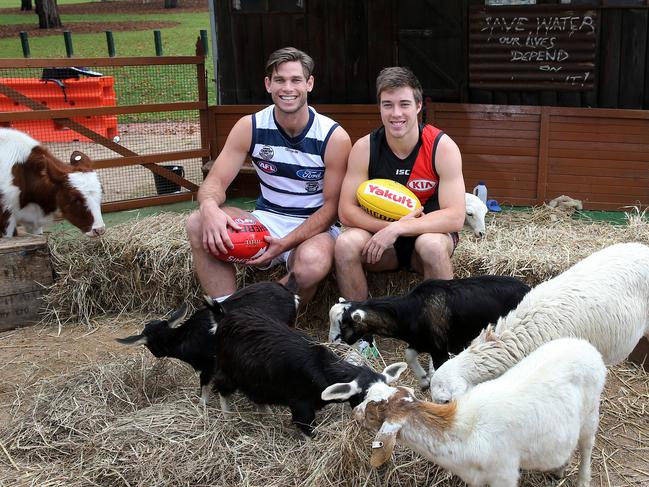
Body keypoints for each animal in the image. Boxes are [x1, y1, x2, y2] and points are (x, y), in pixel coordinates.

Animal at [205, 302, 404, 438]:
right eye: (369, 399)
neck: (321, 367)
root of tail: (224, 318)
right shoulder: (301, 405)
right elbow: (308, 430)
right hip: (228, 369)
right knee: (222, 388)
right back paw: (227, 415)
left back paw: (267, 414)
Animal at [332, 340, 604, 487]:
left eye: (371, 413)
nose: (355, 413)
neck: (461, 431)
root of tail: (586, 346)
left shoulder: (504, 475)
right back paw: (559, 469)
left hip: (591, 412)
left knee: (587, 447)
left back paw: (582, 479)